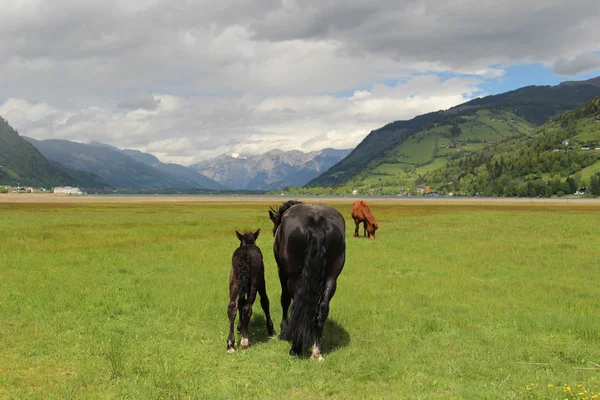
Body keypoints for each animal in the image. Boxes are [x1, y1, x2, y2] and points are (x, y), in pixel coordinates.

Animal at [268, 202, 346, 360]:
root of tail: (316, 220)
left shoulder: (281, 272)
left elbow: (285, 300)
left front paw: (283, 330)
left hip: (294, 278)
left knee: (298, 304)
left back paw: (296, 347)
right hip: (332, 278)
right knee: (322, 307)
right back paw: (316, 349)